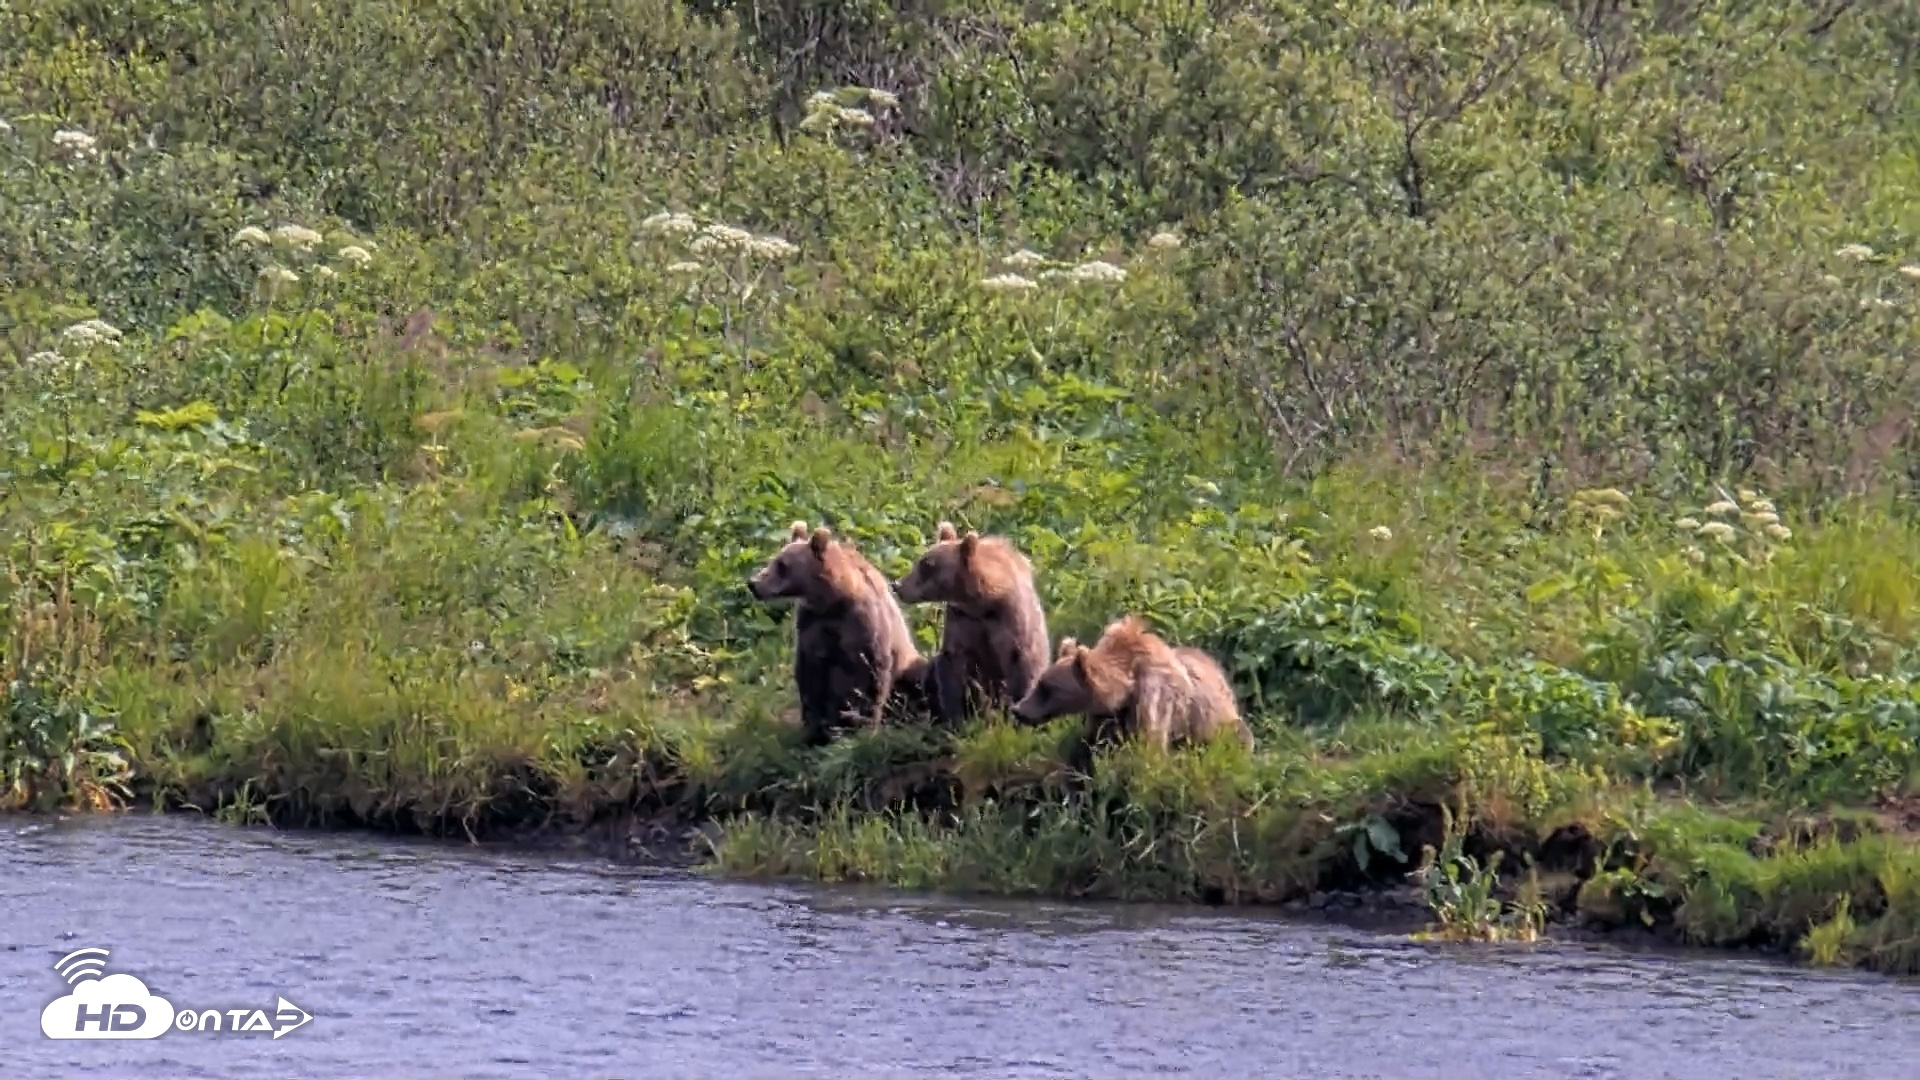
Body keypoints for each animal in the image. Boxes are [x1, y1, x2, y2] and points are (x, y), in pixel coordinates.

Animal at [747, 521, 932, 746]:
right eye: (774, 559)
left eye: (782, 565)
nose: (753, 583)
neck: (833, 598)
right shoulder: (812, 625)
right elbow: (810, 675)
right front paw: (814, 729)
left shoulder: (862, 625)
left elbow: (872, 673)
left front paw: (863, 726)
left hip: (907, 667)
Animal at [891, 521, 1051, 726]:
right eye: (920, 561)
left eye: (927, 565)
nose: (897, 585)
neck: (982, 603)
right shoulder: (962, 622)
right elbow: (953, 671)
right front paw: (956, 718)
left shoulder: (1010, 622)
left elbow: (1024, 664)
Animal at [1009, 615, 1254, 753]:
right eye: (1040, 682)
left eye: (1048, 687)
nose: (1018, 709)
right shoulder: (1108, 714)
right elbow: (1093, 741)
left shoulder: (1154, 698)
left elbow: (1150, 743)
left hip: (1219, 722)